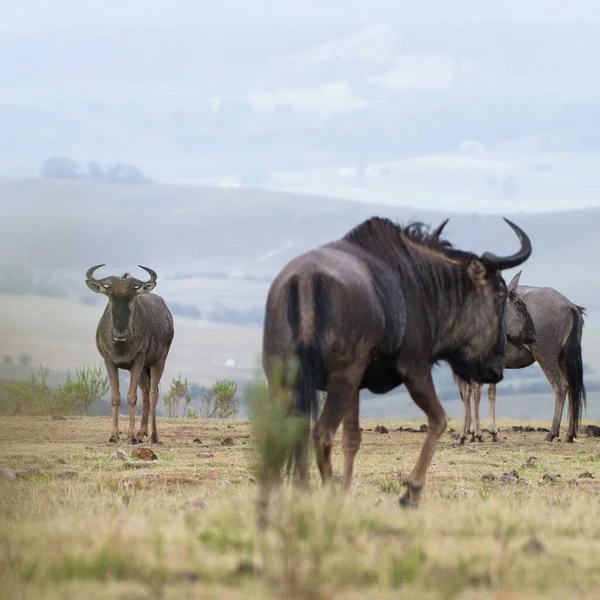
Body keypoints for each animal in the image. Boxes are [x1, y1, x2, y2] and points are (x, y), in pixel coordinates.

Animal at [85, 264, 173, 442]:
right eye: (111, 295)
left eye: (131, 296)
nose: (120, 332)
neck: (121, 344)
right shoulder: (109, 361)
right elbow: (115, 397)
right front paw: (114, 435)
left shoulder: (138, 361)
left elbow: (132, 397)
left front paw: (131, 436)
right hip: (144, 369)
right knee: (145, 391)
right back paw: (142, 432)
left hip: (159, 361)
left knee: (153, 393)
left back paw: (153, 436)